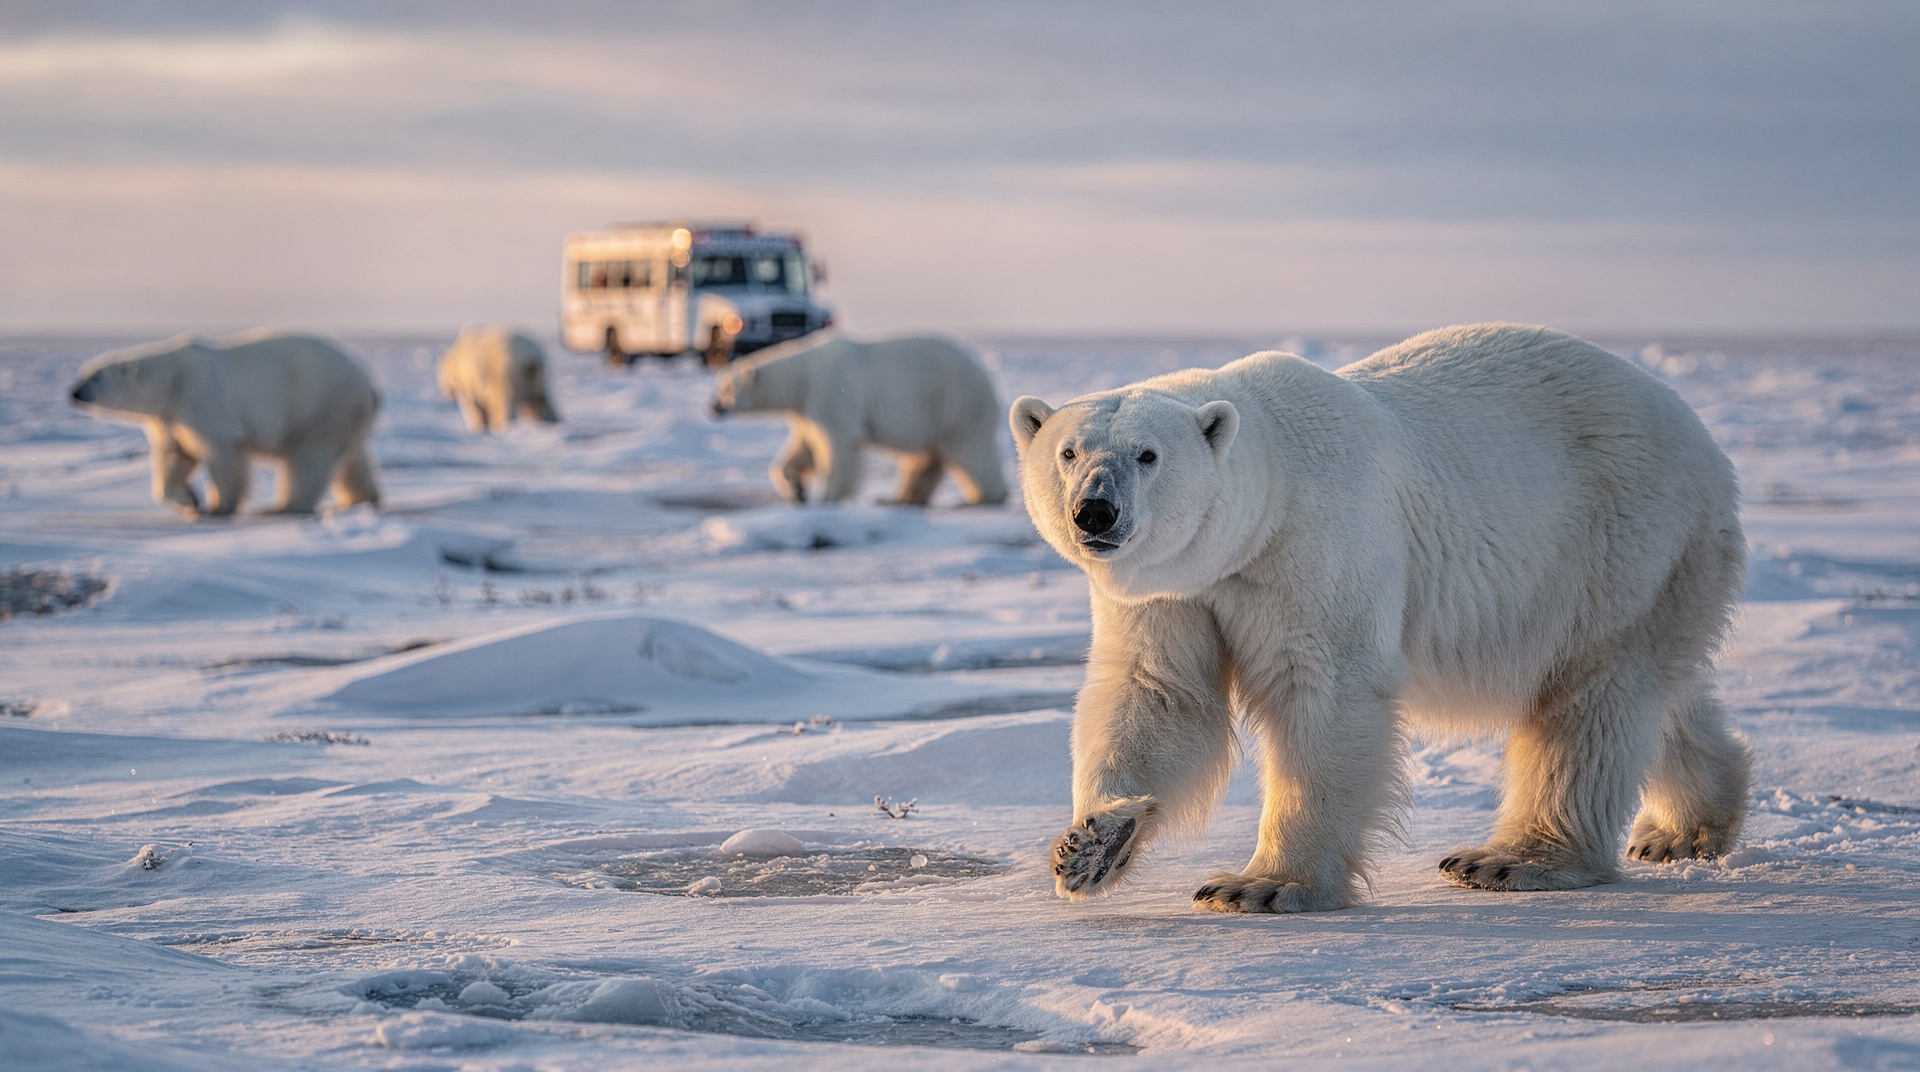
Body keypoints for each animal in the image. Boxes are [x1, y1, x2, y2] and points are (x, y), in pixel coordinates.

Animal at [70, 330, 382, 518]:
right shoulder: (170, 418)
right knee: (351, 459)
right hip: (342, 415)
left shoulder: (202, 398)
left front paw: (219, 505)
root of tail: (369, 385)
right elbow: (174, 457)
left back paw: (281, 507)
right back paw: (363, 498)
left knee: (309, 458)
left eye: (96, 376)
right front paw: (190, 500)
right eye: (82, 373)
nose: (74, 392)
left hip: (320, 402)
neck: (171, 380)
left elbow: (222, 454)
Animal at [711, 333, 1008, 506]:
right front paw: (797, 489)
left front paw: (829, 496)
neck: (800, 375)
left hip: (956, 405)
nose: (712, 407)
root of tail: (986, 375)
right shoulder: (806, 407)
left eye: (725, 388)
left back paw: (985, 496)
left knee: (970, 449)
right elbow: (802, 447)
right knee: (926, 459)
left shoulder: (829, 391)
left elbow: (838, 444)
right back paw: (897, 498)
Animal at [1009, 323, 1750, 913]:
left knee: (1591, 693)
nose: (1095, 512)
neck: (1265, 504)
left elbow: (1324, 692)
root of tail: (1698, 431)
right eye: (1069, 452)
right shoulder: (1178, 590)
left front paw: (1262, 885)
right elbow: (1157, 692)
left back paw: (1511, 858)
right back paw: (1683, 827)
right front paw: (1089, 844)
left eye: (1148, 455)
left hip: (1617, 537)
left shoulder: (1315, 545)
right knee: (1662, 691)